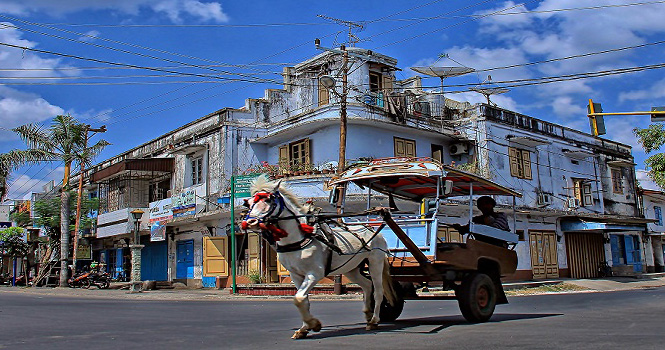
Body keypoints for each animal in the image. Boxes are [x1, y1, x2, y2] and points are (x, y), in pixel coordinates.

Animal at [240, 178, 394, 340]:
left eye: (269, 199)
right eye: (249, 203)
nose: (249, 223)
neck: (300, 238)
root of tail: (373, 230)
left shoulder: (315, 273)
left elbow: (299, 298)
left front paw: (313, 324)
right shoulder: (295, 275)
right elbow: (303, 300)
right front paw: (304, 328)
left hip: (375, 262)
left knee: (378, 291)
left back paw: (374, 320)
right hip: (351, 268)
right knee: (367, 285)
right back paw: (368, 314)